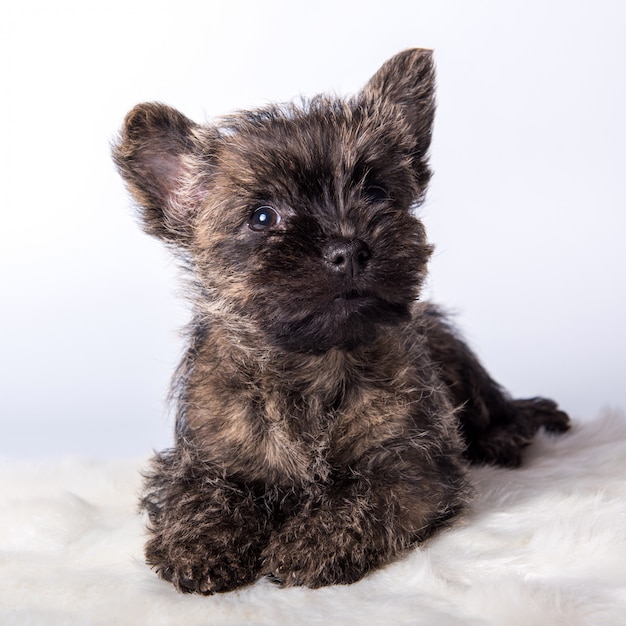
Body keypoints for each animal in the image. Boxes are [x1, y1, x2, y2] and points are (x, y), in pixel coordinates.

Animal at [113, 47, 572, 588]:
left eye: (374, 192)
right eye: (262, 217)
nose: (348, 249)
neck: (310, 370)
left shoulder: (411, 459)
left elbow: (365, 495)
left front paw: (312, 540)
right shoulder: (202, 456)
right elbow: (201, 492)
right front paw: (199, 543)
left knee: (499, 408)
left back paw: (504, 436)